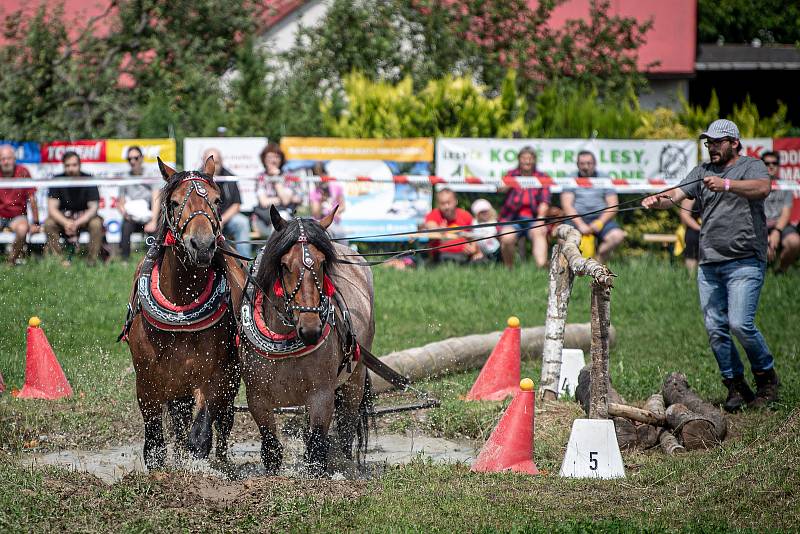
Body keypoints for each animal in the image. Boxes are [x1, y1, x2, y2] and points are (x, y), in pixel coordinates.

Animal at [120, 156, 245, 468]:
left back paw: (222, 464)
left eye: (217, 200)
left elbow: (200, 436)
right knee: (178, 422)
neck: (181, 309)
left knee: (223, 423)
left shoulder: (215, 375)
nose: (202, 245)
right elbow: (155, 443)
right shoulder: (147, 380)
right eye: (175, 203)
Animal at [238, 206, 376, 478]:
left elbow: (317, 448)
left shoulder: (321, 395)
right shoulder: (257, 397)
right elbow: (271, 449)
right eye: (284, 265)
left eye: (322, 264)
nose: (311, 330)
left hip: (354, 379)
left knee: (346, 430)